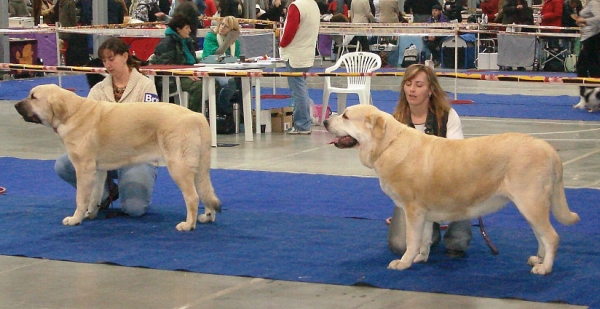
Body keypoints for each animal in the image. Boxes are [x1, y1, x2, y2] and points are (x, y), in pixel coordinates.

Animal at [15, 83, 221, 230]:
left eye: (33, 97)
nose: (16, 104)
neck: (72, 113)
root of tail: (197, 116)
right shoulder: (96, 171)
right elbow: (94, 195)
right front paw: (90, 214)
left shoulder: (83, 168)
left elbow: (81, 198)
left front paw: (75, 219)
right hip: (199, 169)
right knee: (205, 192)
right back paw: (207, 217)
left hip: (179, 166)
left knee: (193, 197)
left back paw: (188, 225)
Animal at [324, 104, 580, 274]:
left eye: (346, 116)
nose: (326, 122)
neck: (388, 145)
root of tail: (549, 150)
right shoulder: (424, 213)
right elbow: (424, 238)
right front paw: (421, 258)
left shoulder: (413, 210)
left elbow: (411, 239)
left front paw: (404, 262)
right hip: (530, 205)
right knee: (541, 235)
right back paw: (538, 260)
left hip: (530, 202)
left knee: (552, 236)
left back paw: (544, 268)